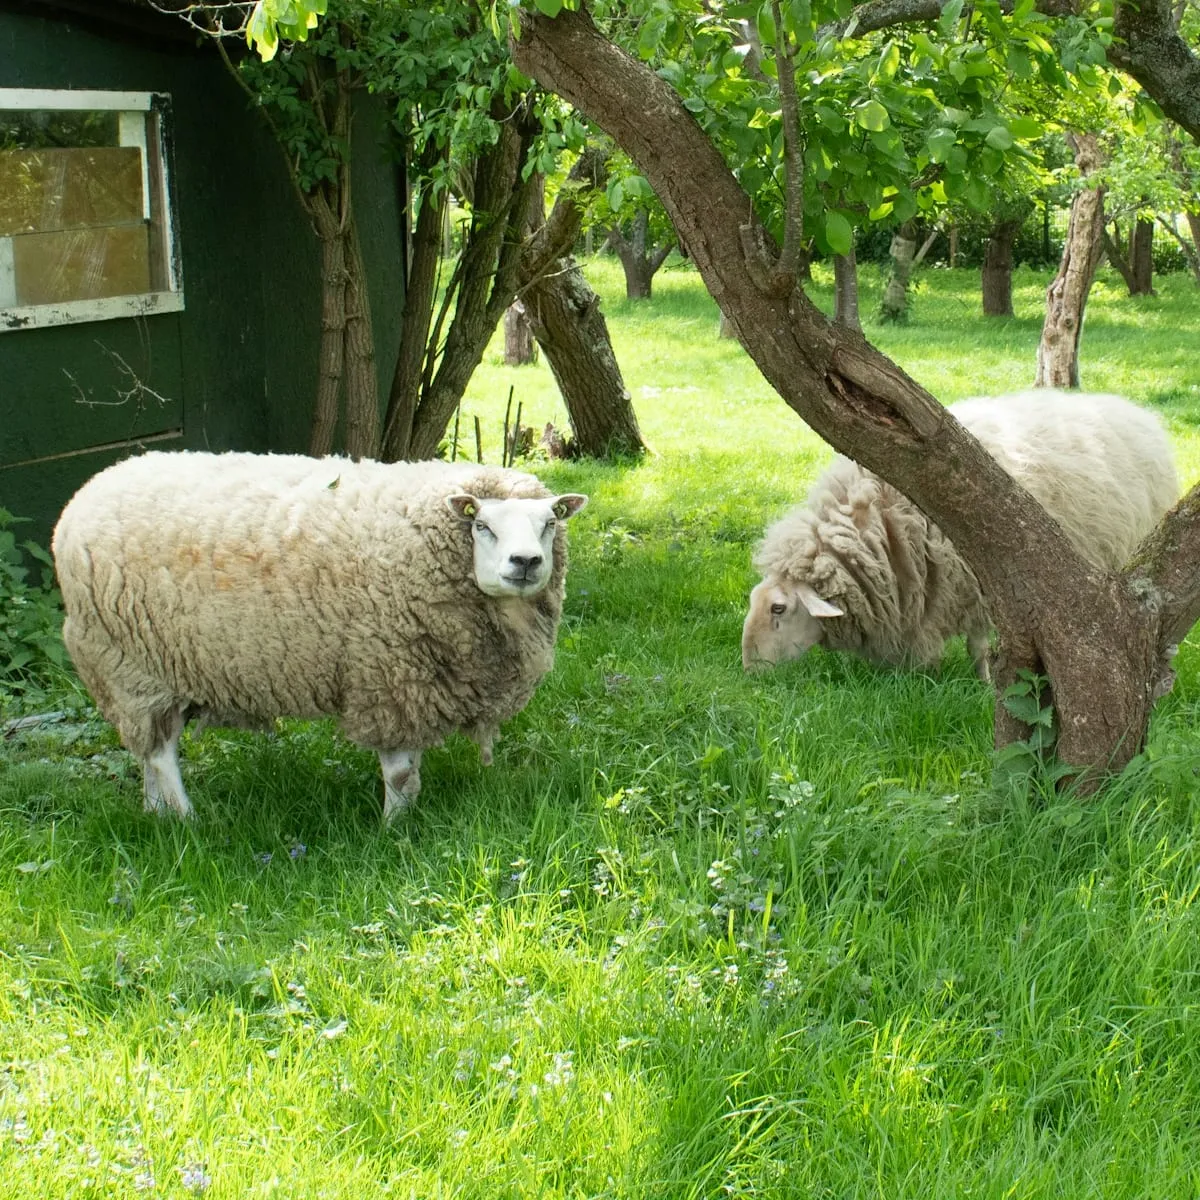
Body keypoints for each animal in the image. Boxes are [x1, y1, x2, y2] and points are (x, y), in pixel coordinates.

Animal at [51, 451, 587, 823]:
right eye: (481, 526)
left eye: (549, 523)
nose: (525, 562)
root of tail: (94, 486)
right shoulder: (388, 677)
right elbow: (399, 772)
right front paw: (394, 830)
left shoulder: (416, 687)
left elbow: (411, 767)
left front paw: (409, 819)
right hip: (129, 663)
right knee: (161, 754)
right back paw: (188, 821)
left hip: (149, 672)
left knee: (145, 749)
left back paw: (156, 814)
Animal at [742, 389, 1178, 678]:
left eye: (778, 609)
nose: (749, 670)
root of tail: (1136, 411)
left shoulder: (976, 584)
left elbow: (977, 645)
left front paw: (984, 681)